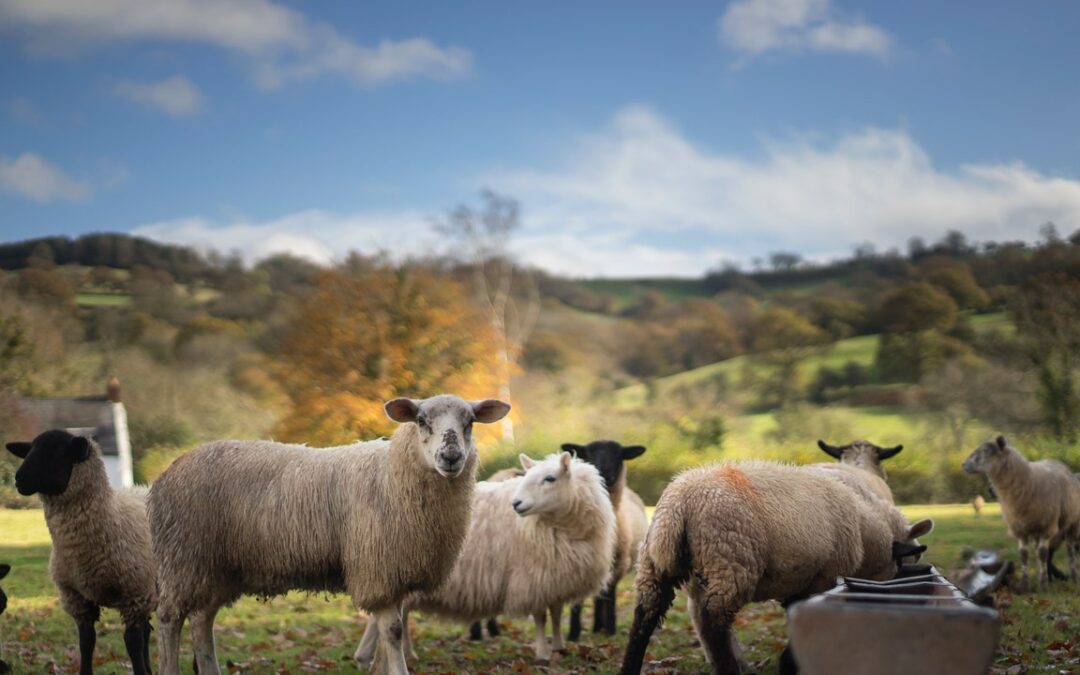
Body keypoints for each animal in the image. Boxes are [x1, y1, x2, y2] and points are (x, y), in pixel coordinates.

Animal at [4, 432, 157, 673]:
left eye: (58, 450)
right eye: (29, 449)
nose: (19, 479)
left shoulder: (134, 593)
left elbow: (132, 642)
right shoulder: (76, 597)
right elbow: (86, 642)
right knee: (147, 630)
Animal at [146, 393, 509, 673]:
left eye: (470, 422)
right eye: (421, 420)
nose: (451, 456)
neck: (392, 474)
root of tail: (165, 474)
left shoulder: (397, 571)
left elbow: (389, 631)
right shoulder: (376, 569)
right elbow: (392, 630)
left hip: (217, 567)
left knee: (202, 621)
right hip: (183, 559)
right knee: (168, 619)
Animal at [356, 449, 617, 660]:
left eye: (550, 478)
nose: (516, 503)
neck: (562, 524)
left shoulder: (558, 577)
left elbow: (555, 613)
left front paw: (560, 648)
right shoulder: (531, 578)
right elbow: (541, 617)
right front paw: (543, 653)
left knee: (401, 614)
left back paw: (405, 654)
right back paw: (366, 656)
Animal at [557, 440, 648, 639]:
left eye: (619, 455)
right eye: (588, 454)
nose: (605, 474)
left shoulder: (619, 562)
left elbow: (610, 594)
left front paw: (611, 629)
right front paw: (573, 634)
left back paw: (600, 627)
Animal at [963, 434, 1080, 587]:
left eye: (986, 451)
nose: (963, 465)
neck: (1027, 480)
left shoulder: (1046, 527)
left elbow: (1043, 554)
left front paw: (1043, 585)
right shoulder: (1019, 528)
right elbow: (1024, 555)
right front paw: (1024, 584)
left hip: (1071, 525)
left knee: (1069, 550)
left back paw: (1072, 578)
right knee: (1040, 552)